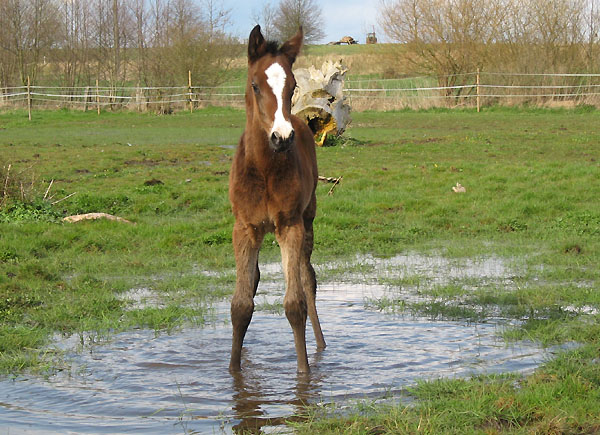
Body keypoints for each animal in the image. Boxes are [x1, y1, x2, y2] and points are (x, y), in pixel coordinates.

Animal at [229, 26, 324, 374]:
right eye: (255, 85)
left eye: (293, 86)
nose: (281, 138)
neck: (264, 170)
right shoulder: (245, 228)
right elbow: (241, 304)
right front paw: (234, 371)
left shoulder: (290, 225)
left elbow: (295, 303)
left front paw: (304, 373)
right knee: (255, 279)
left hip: (308, 219)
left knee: (308, 279)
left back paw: (321, 346)